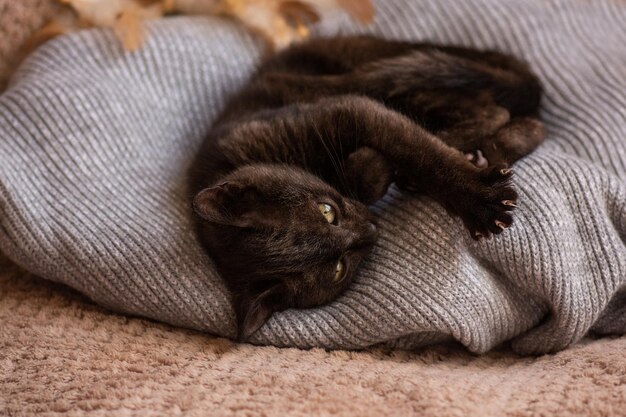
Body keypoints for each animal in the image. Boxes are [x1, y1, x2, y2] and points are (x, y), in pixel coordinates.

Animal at [188, 35, 544, 340]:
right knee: (525, 122)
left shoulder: (349, 110)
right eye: (338, 269)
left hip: (385, 79)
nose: (371, 231)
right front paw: (373, 168)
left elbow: (419, 151)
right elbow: (373, 170)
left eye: (326, 211)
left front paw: (479, 200)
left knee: (495, 111)